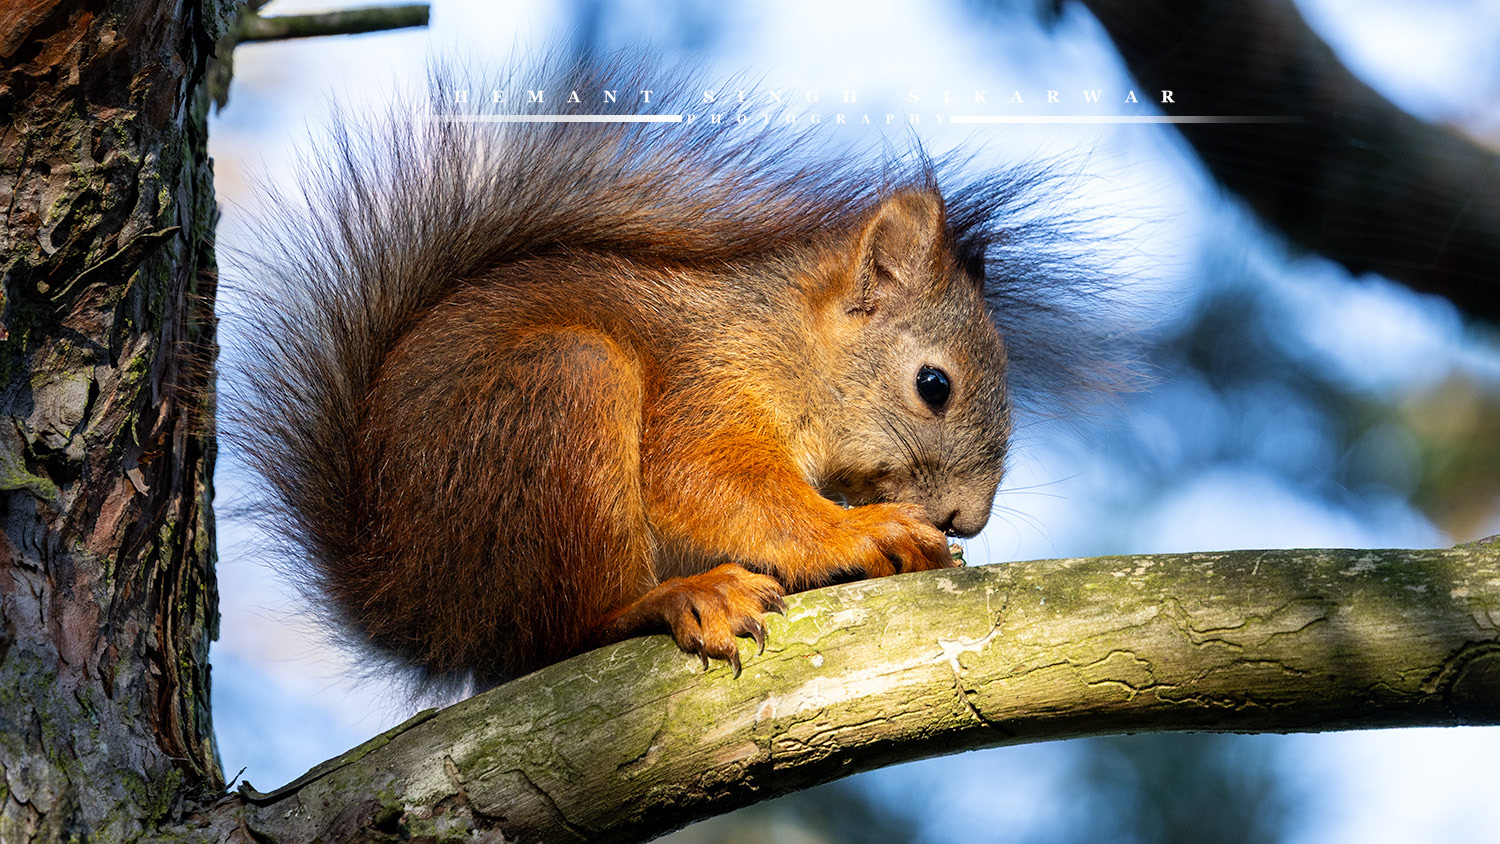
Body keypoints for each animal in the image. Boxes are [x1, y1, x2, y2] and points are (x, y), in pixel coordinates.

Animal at [234, 56, 1111, 692]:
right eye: (935, 386)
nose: (969, 520)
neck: (783, 344)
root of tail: (409, 603)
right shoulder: (705, 386)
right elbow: (707, 482)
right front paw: (866, 532)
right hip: (563, 394)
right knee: (566, 629)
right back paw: (677, 597)